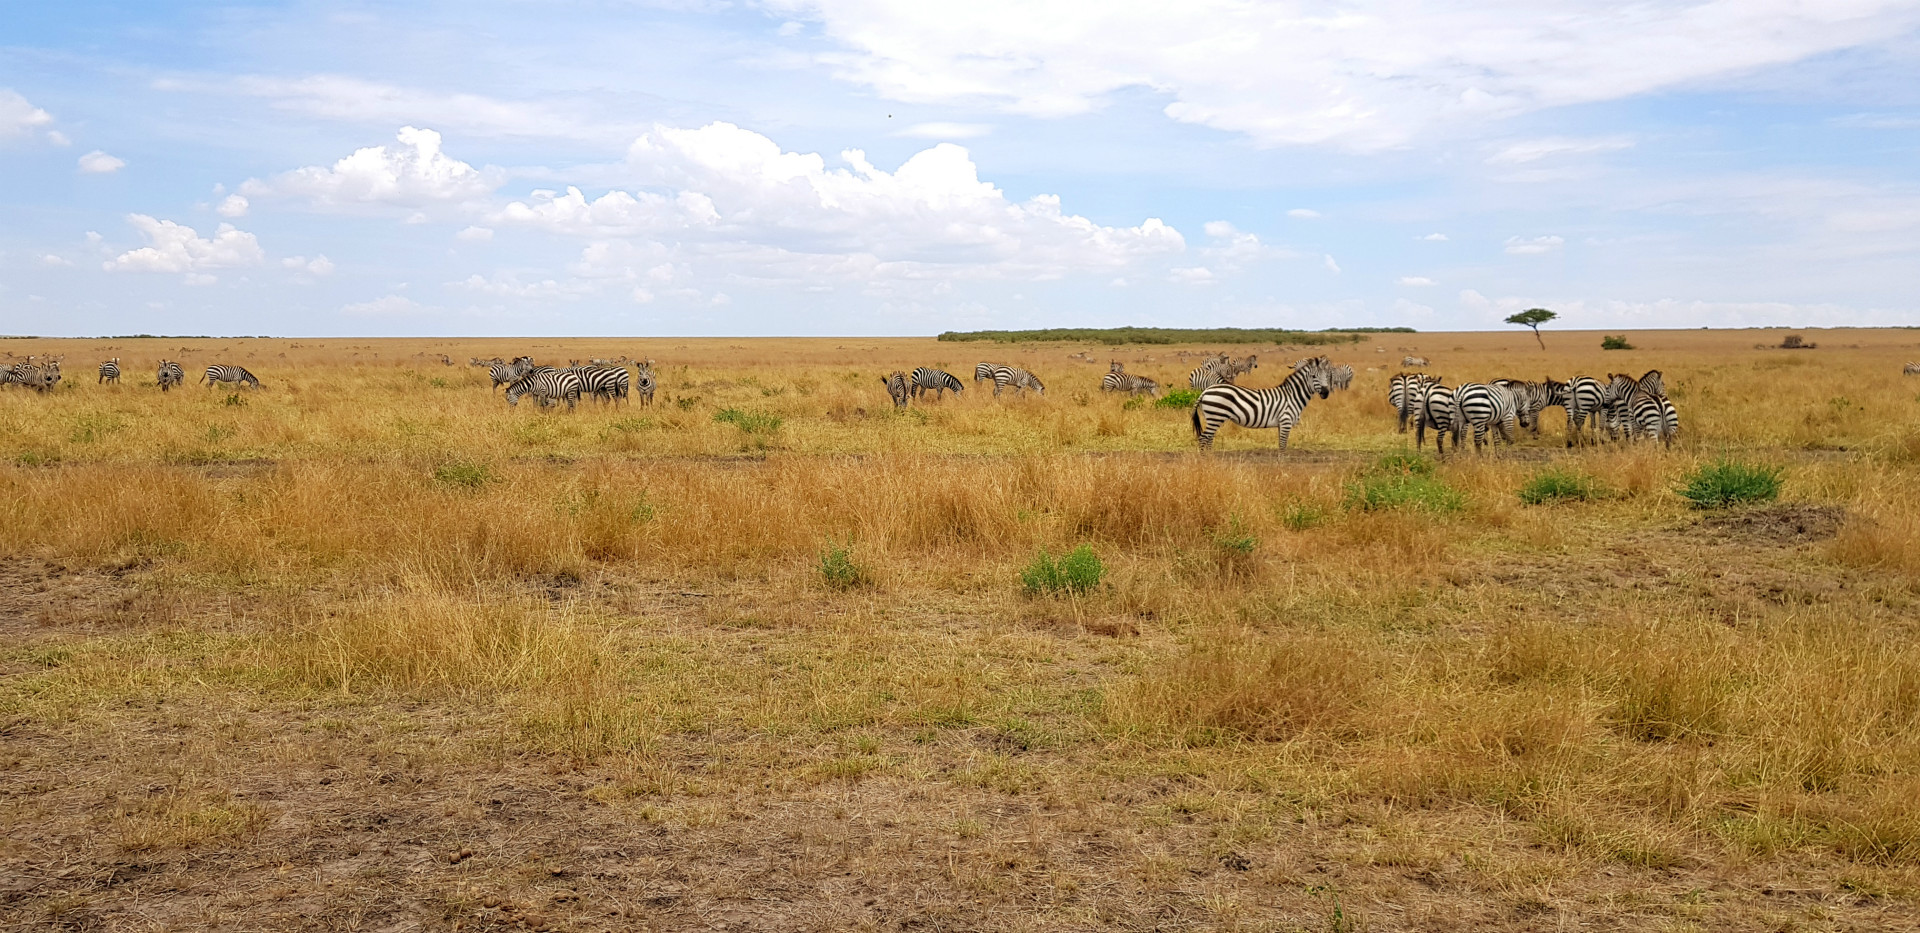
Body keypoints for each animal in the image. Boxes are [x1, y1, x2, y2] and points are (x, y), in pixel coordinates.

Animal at [1182, 355, 1336, 449]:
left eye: (1327, 375)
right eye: (1314, 376)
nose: (1326, 393)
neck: (1292, 396)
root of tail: (1205, 391)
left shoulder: (1281, 424)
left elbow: (1281, 445)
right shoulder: (1285, 421)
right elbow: (1283, 446)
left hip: (1212, 417)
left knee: (1209, 438)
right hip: (1215, 416)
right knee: (1204, 438)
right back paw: (1206, 461)